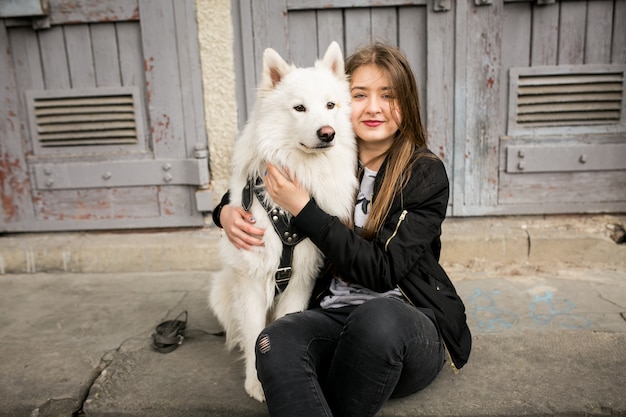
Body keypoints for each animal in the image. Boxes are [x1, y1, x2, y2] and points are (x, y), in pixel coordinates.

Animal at [208, 41, 356, 400]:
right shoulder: (251, 277)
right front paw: (255, 382)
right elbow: (253, 333)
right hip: (221, 290)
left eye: (330, 105)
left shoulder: (301, 276)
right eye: (299, 108)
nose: (327, 133)